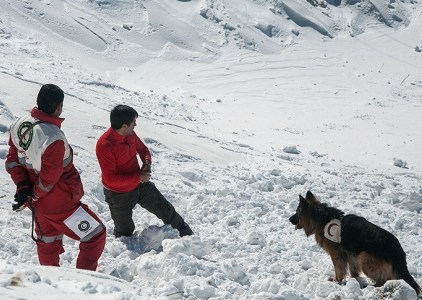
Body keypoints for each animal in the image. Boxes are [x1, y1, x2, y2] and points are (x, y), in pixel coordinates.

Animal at [288, 191, 420, 294]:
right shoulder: (351, 254)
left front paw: (337, 280)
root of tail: (397, 250)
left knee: (383, 280)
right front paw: (354, 280)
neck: (322, 218)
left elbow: (339, 269)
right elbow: (353, 270)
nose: (289, 219)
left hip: (365, 257)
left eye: (297, 212)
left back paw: (371, 287)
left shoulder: (337, 254)